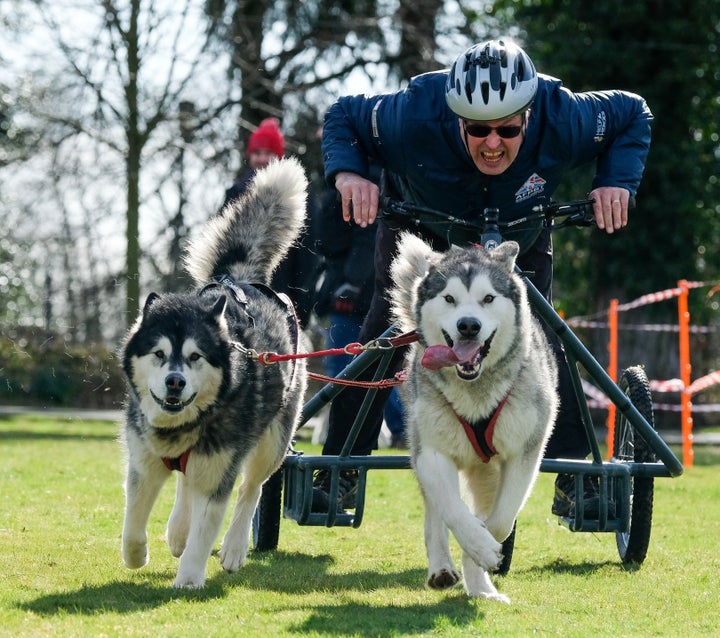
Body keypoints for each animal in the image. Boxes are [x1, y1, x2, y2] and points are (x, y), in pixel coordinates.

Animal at [117, 158, 306, 588]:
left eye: (195, 357)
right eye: (159, 354)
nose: (175, 382)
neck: (184, 426)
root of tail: (238, 281)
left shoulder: (222, 468)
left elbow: (208, 526)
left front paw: (189, 578)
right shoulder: (144, 463)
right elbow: (132, 525)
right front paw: (138, 555)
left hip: (272, 442)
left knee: (251, 490)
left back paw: (234, 548)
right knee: (186, 483)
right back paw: (177, 530)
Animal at [390, 234, 560, 604]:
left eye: (488, 298)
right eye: (449, 298)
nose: (468, 325)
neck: (475, 389)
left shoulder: (524, 453)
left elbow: (500, 520)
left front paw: (483, 552)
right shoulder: (432, 453)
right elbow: (453, 511)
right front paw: (477, 546)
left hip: (489, 473)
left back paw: (482, 588)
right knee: (436, 513)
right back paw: (443, 567)